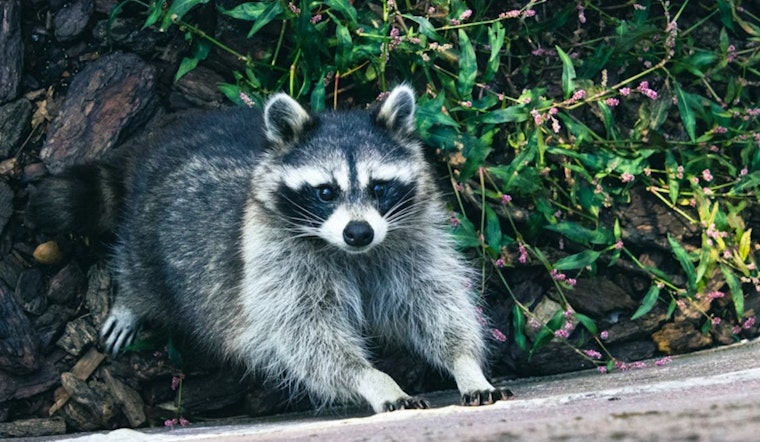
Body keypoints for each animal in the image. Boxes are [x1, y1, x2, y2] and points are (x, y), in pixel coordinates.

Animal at [27, 85, 512, 412]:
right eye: (325, 192)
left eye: (379, 187)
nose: (358, 233)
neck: (351, 255)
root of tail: (160, 144)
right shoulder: (278, 262)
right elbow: (309, 335)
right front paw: (374, 379)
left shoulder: (410, 239)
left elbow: (433, 303)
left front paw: (465, 363)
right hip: (147, 235)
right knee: (140, 271)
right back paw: (130, 300)